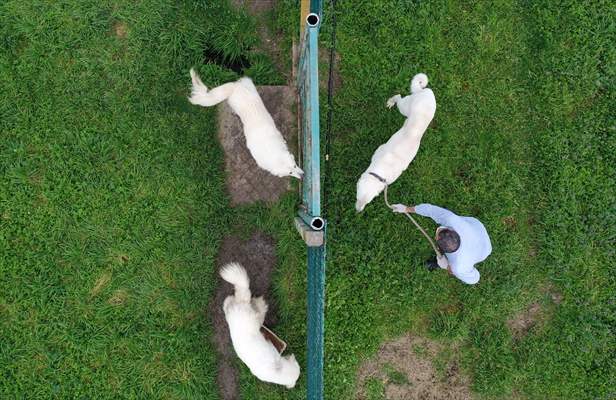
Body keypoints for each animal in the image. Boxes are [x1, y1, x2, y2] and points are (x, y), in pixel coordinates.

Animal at [220, 260, 300, 390]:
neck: (276, 369)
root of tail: (240, 306)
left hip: (230, 306)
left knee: (229, 300)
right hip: (255, 317)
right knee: (258, 307)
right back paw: (262, 304)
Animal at [354, 74, 436, 212]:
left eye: (368, 202)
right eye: (357, 197)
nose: (358, 211)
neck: (381, 172)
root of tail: (427, 91)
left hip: (406, 108)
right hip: (405, 107)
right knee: (398, 96)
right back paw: (391, 101)